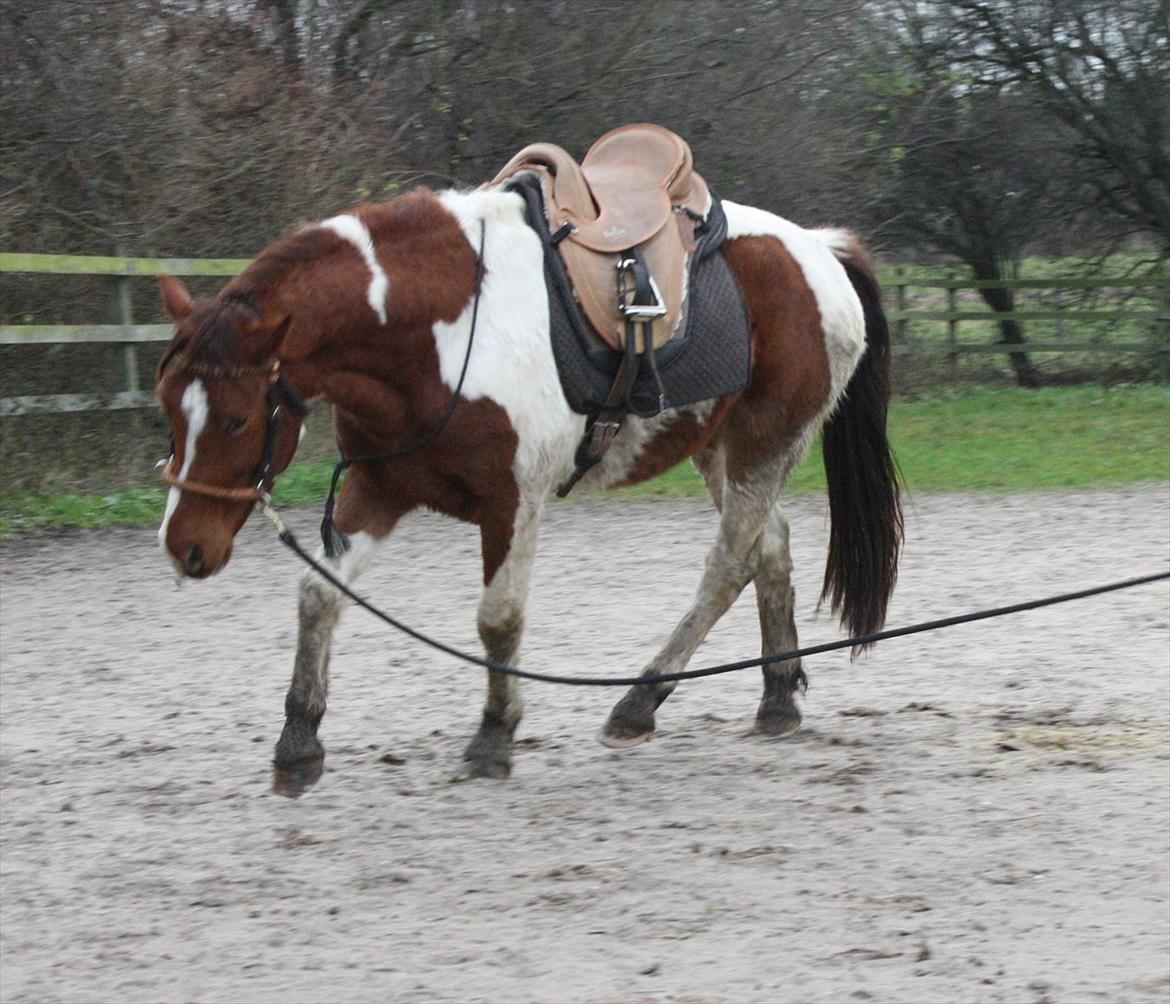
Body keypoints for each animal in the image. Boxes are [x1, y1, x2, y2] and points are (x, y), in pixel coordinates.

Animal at [153, 174, 903, 781]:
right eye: (167, 406)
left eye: (235, 420)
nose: (185, 546)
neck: (436, 333)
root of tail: (818, 249)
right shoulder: (378, 491)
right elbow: (318, 595)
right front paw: (300, 738)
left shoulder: (510, 503)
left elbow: (499, 620)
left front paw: (493, 735)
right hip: (721, 449)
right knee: (768, 550)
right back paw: (775, 696)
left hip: (764, 445)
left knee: (727, 566)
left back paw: (639, 702)